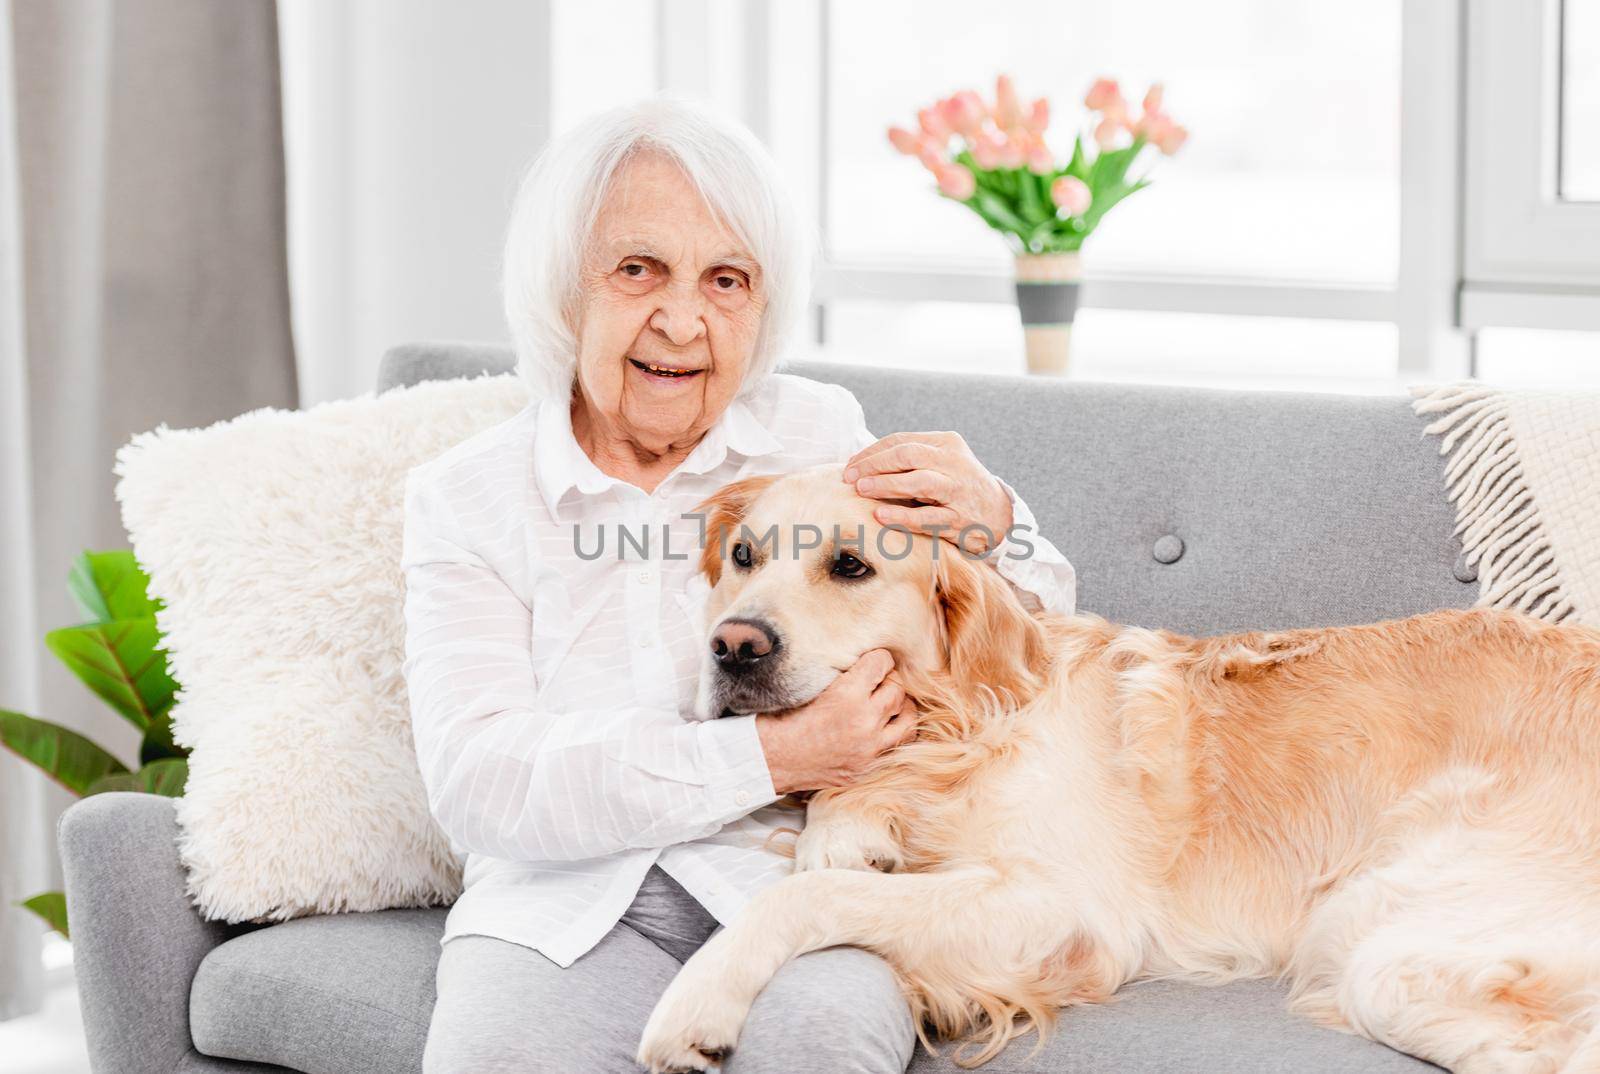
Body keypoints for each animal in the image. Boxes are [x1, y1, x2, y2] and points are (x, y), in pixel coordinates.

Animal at [630, 467, 1600, 1069]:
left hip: (1390, 918)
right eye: (744, 557)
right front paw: (844, 826)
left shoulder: (1068, 911)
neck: (963, 726)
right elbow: (836, 853)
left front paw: (696, 1005)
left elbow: (806, 896)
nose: (734, 648)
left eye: (850, 565)